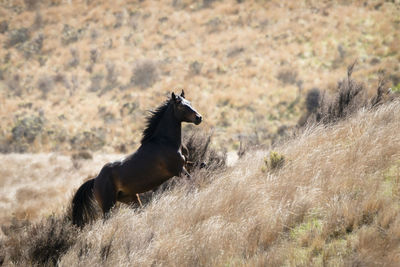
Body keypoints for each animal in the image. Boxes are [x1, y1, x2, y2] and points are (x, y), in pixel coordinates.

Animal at [70, 91, 202, 227]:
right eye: (180, 105)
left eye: (189, 103)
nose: (199, 118)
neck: (165, 142)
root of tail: (95, 180)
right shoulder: (179, 170)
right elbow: (192, 181)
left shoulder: (186, 164)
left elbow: (201, 165)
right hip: (108, 206)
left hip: (131, 198)